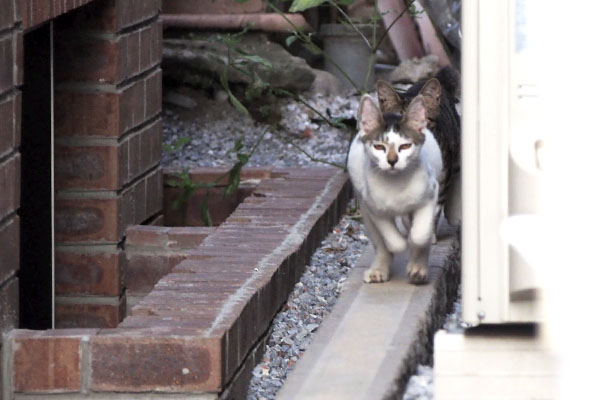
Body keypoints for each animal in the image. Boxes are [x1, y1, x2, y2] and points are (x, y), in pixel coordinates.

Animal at [346, 93, 446, 284]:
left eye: (405, 146)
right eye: (379, 147)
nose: (392, 160)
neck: (396, 183)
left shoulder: (431, 194)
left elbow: (420, 234)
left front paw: (416, 251)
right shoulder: (373, 207)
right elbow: (392, 240)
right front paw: (401, 245)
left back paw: (418, 269)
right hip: (364, 208)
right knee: (380, 242)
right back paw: (379, 269)